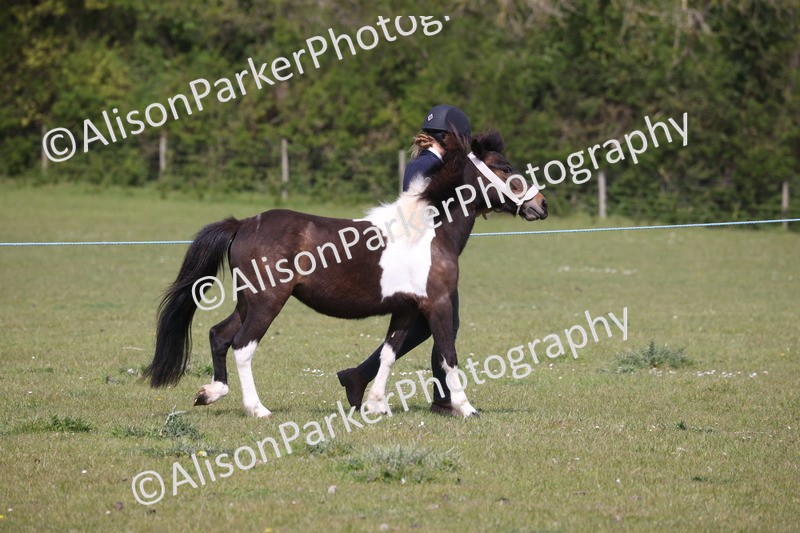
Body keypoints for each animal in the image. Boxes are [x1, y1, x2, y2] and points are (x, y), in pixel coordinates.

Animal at [144, 130, 548, 418]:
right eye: (506, 168)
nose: (541, 205)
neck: (429, 230)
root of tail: (243, 224)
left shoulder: (405, 308)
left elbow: (389, 353)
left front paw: (375, 404)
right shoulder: (437, 304)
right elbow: (448, 354)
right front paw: (466, 407)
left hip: (249, 301)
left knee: (219, 335)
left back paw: (210, 393)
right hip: (267, 302)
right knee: (242, 346)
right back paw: (257, 409)